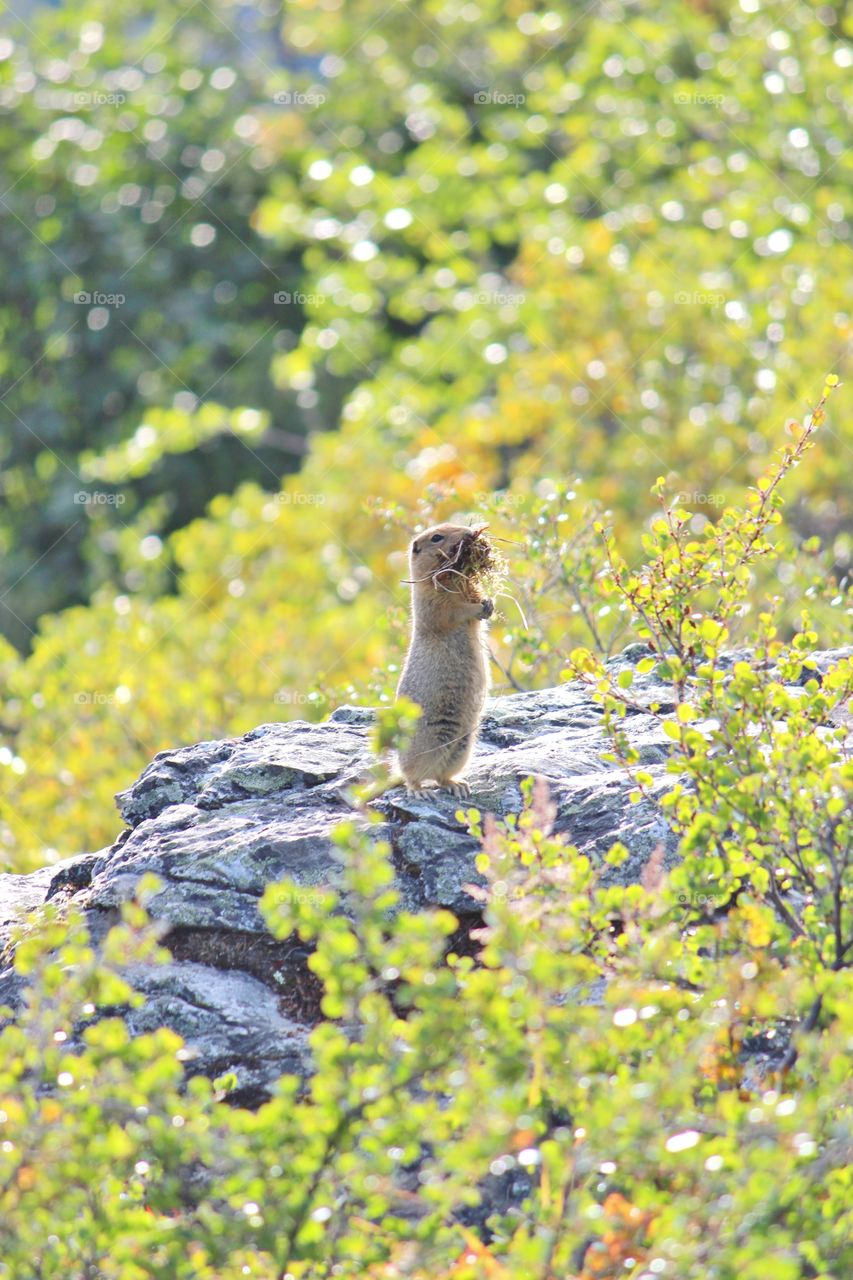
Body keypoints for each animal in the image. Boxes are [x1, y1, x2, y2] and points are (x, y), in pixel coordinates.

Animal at [396, 522, 493, 797]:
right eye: (436, 537)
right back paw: (420, 790)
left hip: (462, 746)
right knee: (411, 776)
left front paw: (489, 603)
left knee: (441, 776)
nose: (471, 534)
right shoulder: (435, 604)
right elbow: (453, 612)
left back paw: (457, 785)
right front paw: (479, 607)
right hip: (424, 746)